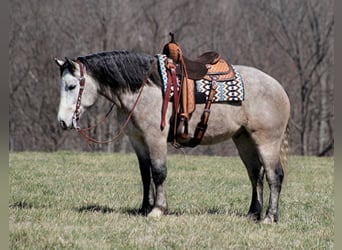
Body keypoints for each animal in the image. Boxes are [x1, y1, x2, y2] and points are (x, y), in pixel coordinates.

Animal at [54, 49, 290, 224]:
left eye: (72, 86)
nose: (63, 122)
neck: (145, 88)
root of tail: (279, 87)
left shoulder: (155, 138)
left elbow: (159, 172)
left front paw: (158, 210)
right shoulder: (138, 140)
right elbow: (146, 174)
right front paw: (144, 208)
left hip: (267, 141)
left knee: (274, 175)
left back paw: (269, 217)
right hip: (244, 139)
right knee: (255, 174)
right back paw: (253, 214)